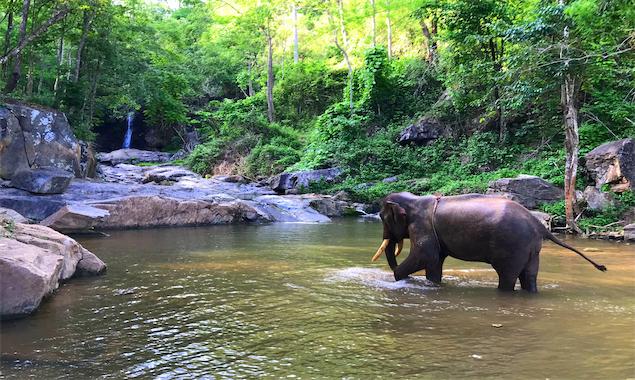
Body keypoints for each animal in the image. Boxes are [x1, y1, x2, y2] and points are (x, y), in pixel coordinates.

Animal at [376, 193, 608, 290]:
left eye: (381, 217)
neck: (414, 199)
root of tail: (540, 225)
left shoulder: (422, 225)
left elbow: (426, 255)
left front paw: (399, 277)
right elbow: (434, 262)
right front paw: (431, 284)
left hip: (513, 247)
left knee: (508, 276)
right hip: (531, 249)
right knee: (529, 275)